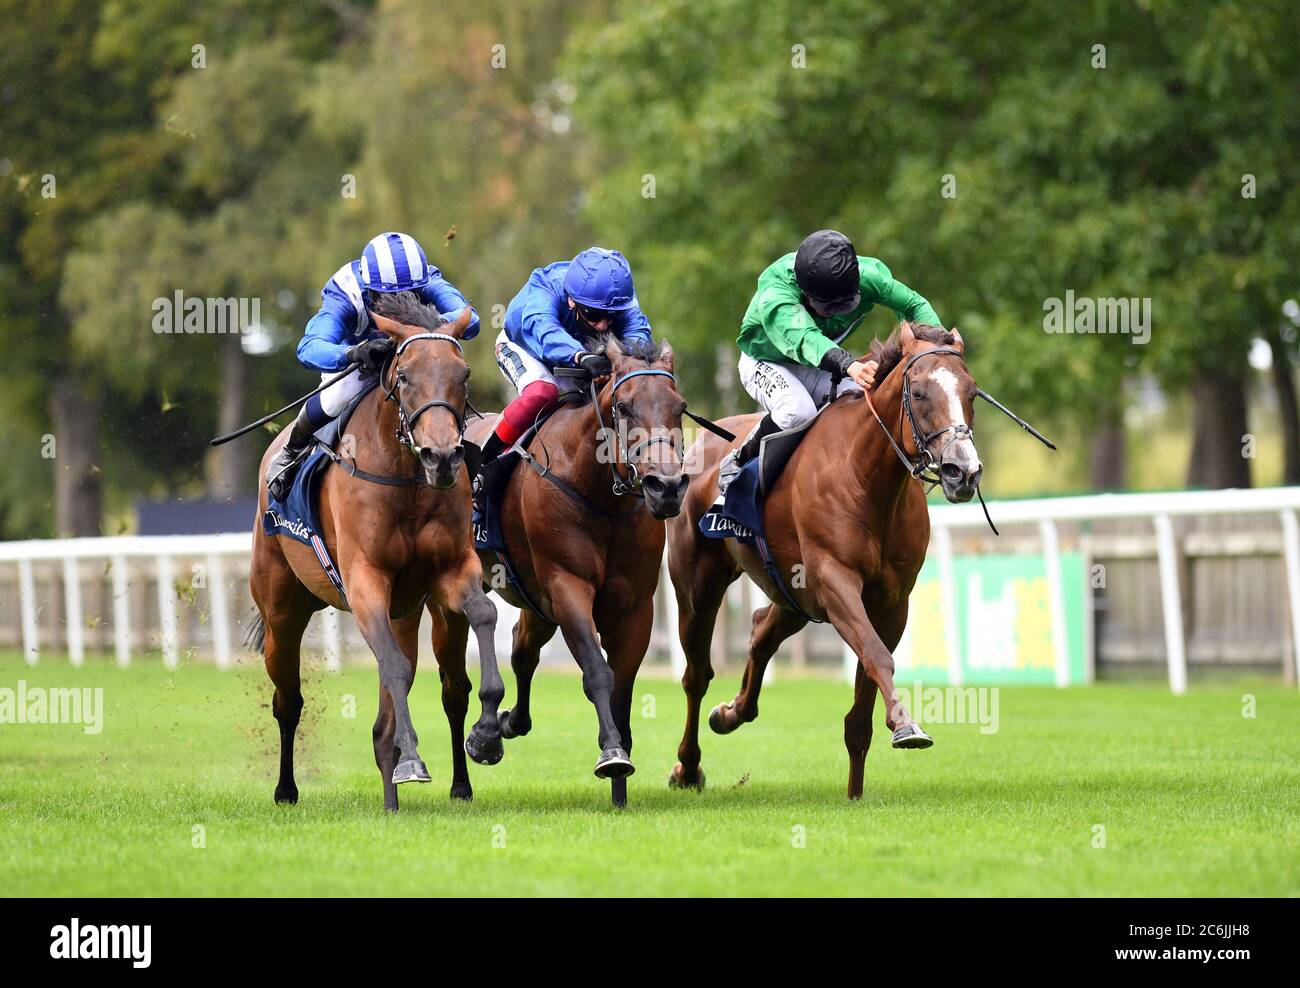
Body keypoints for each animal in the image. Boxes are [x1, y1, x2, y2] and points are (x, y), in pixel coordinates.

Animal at [246, 297, 501, 816]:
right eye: (403, 375)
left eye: (463, 373)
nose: (442, 457)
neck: (405, 476)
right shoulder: (365, 582)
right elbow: (396, 669)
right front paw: (413, 761)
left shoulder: (451, 571)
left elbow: (483, 615)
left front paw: (487, 734)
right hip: (282, 610)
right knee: (289, 700)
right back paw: (286, 789)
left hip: (409, 612)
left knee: (440, 690)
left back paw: (417, 789)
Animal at [465, 335, 691, 806]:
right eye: (623, 406)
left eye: (679, 406)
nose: (665, 487)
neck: (602, 496)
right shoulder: (568, 586)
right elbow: (597, 672)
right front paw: (612, 755)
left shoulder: (635, 606)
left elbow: (622, 683)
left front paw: (621, 780)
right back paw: (483, 735)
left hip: (534, 601)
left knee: (522, 648)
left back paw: (507, 723)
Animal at [665, 323, 977, 800]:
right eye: (921, 393)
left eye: (972, 392)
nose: (963, 471)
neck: (867, 477)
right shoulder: (835, 581)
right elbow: (877, 655)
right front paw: (907, 726)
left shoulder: (892, 601)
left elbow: (864, 695)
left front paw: (856, 791)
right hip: (699, 586)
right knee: (696, 675)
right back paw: (687, 766)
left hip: (794, 594)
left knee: (760, 631)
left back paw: (731, 713)